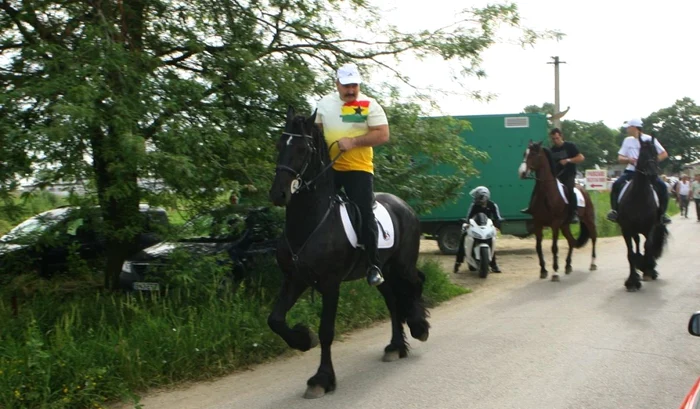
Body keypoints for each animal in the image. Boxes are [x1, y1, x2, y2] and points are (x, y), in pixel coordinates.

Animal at [268, 106, 432, 398]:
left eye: (302, 148)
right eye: (279, 144)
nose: (279, 194)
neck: (311, 223)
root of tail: (404, 205)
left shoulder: (330, 284)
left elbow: (326, 331)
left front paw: (321, 379)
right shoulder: (294, 279)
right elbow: (275, 320)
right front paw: (303, 339)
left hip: (402, 264)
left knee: (415, 283)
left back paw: (418, 326)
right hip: (383, 272)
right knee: (393, 301)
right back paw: (395, 347)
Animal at [616, 136, 668, 290]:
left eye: (656, 153)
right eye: (642, 154)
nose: (653, 174)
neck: (639, 197)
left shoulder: (650, 227)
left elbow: (648, 247)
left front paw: (648, 269)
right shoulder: (626, 229)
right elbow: (630, 253)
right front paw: (632, 281)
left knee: (646, 245)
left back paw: (648, 269)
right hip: (634, 230)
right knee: (637, 243)